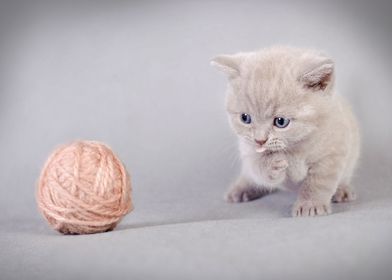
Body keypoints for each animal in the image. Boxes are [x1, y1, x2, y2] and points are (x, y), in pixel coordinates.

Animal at [213, 45, 360, 217]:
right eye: (245, 118)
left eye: (281, 122)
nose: (260, 140)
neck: (294, 147)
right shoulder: (248, 149)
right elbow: (257, 166)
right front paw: (271, 164)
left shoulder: (333, 151)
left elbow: (318, 182)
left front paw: (310, 204)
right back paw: (241, 189)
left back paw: (342, 190)